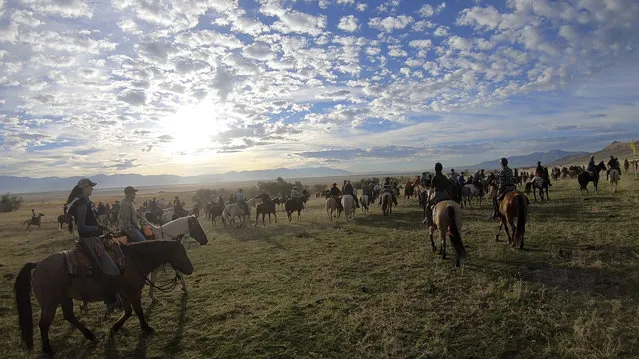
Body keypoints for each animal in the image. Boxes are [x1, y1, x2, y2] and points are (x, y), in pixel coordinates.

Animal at [13, 239, 194, 358]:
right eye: (182, 252)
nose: (191, 269)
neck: (133, 260)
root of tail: (38, 264)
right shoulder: (133, 292)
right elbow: (138, 311)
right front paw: (146, 328)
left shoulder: (125, 293)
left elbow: (128, 312)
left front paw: (114, 328)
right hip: (50, 303)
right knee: (43, 325)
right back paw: (48, 350)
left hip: (65, 298)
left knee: (69, 316)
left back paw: (91, 337)